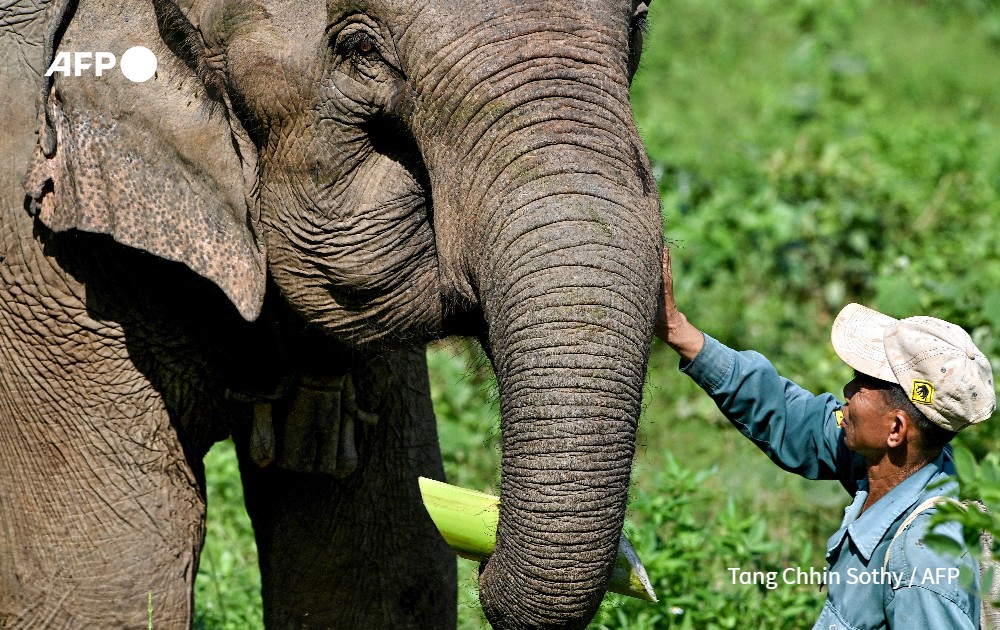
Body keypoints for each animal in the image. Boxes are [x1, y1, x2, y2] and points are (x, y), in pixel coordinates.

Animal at [0, 0, 662, 628]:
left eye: (639, 26)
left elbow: (381, 569)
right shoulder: (51, 266)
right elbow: (107, 581)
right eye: (360, 48)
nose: (483, 540)